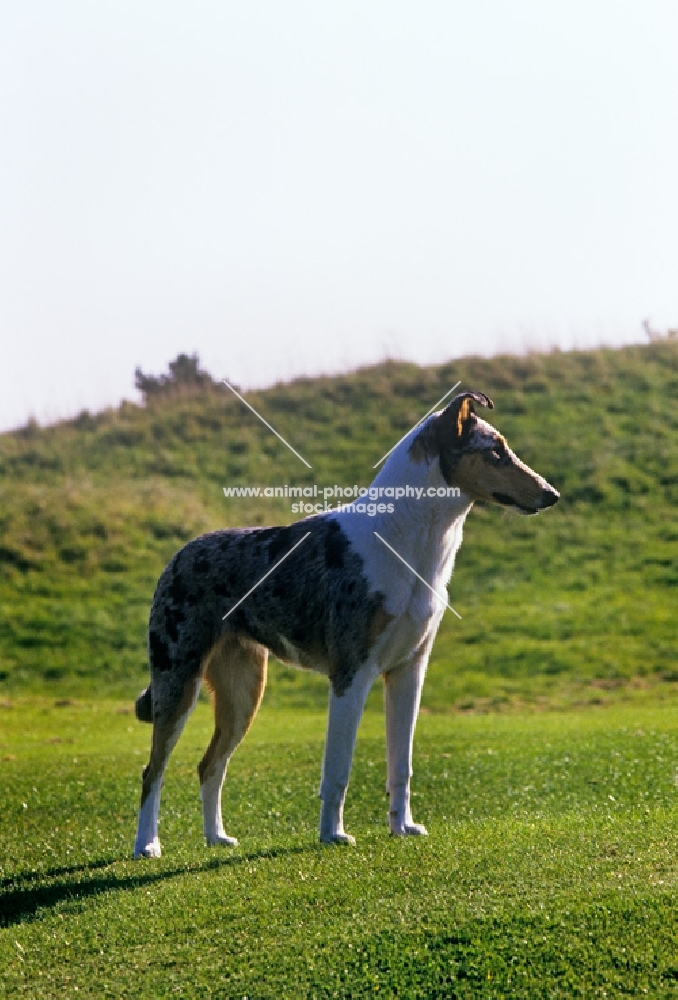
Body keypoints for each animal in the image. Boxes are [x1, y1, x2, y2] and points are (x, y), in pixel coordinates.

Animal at [134, 392, 564, 860]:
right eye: (495, 452)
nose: (552, 494)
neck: (408, 541)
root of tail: (180, 555)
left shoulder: (408, 672)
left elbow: (401, 765)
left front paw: (402, 827)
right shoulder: (350, 675)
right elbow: (337, 770)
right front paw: (332, 834)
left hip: (244, 690)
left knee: (210, 764)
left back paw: (216, 837)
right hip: (178, 682)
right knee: (153, 770)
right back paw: (147, 845)